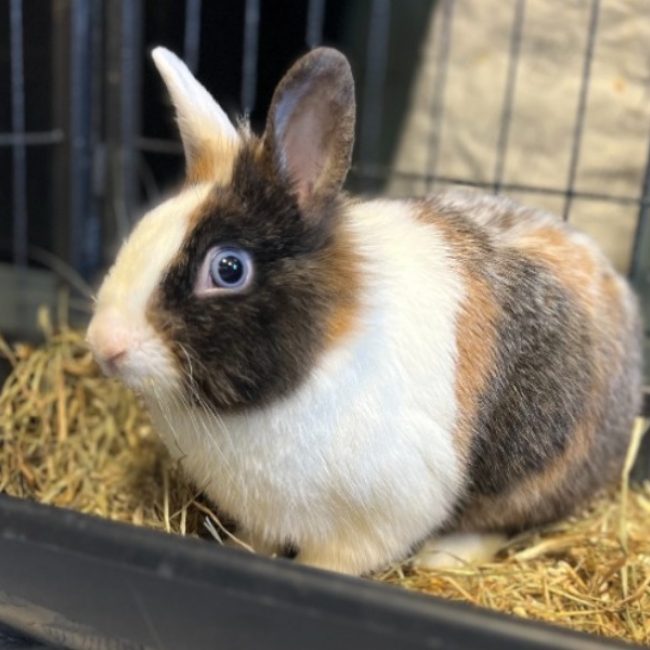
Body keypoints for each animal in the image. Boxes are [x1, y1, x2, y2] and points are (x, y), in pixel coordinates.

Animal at [86, 46, 643, 576]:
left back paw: (445, 556)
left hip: (530, 478)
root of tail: (620, 295)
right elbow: (259, 540)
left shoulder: (381, 516)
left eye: (228, 268)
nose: (105, 344)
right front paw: (241, 550)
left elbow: (333, 561)